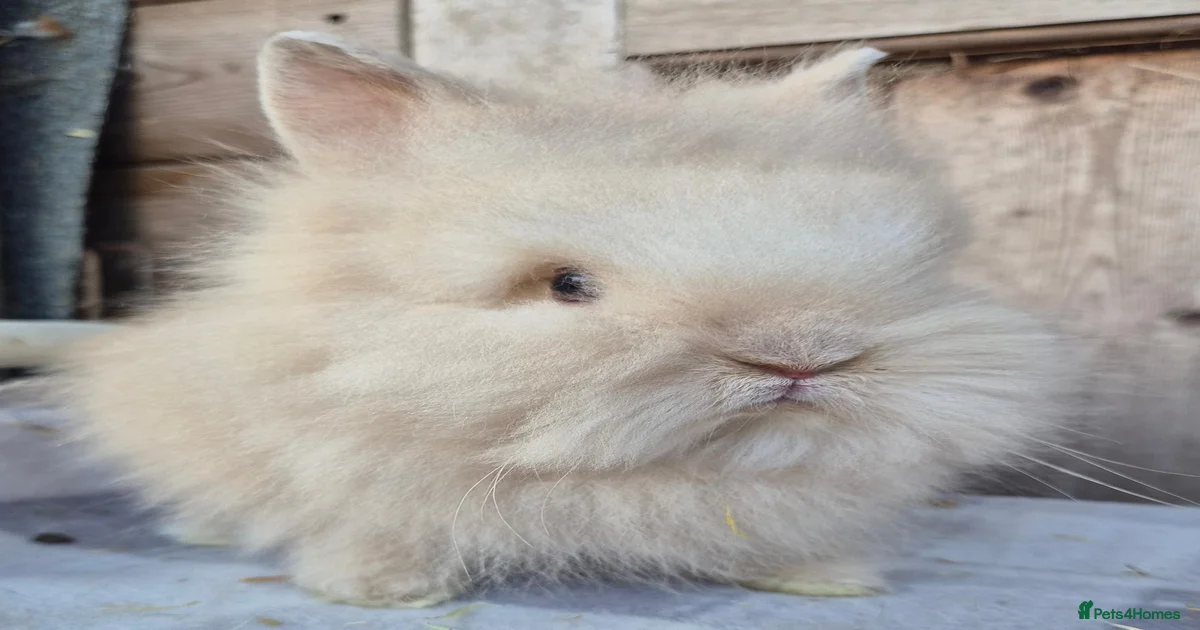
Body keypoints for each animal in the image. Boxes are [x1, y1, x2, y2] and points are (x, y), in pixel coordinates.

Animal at [59, 31, 1072, 608]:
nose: (800, 357)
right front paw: (383, 593)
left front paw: (828, 581)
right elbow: (370, 527)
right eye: (567, 286)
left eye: (900, 262)